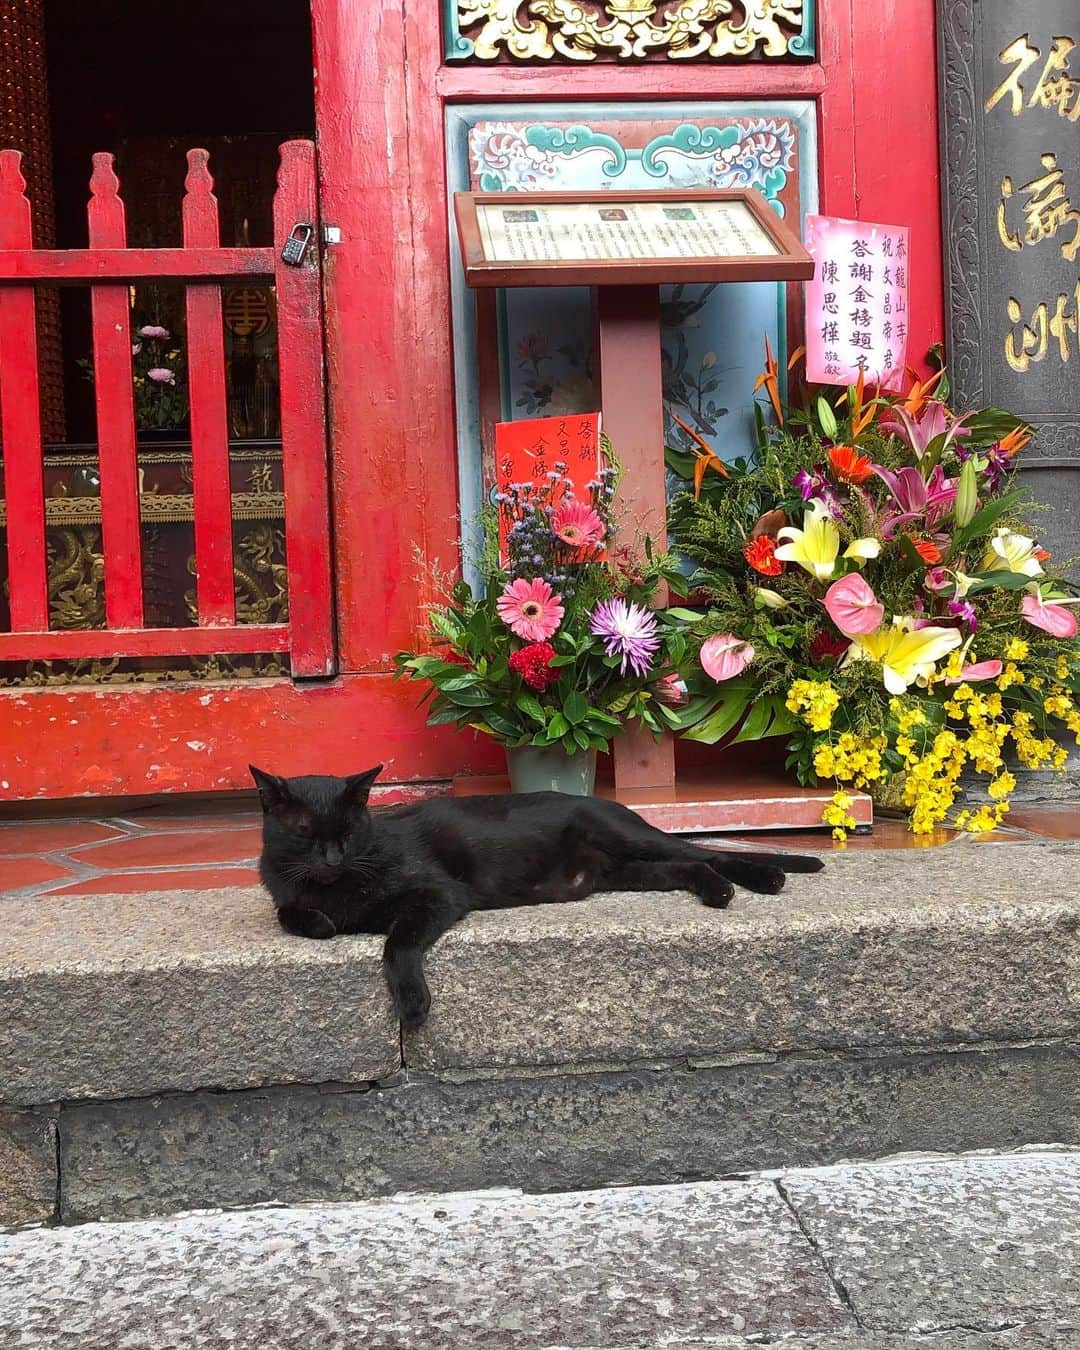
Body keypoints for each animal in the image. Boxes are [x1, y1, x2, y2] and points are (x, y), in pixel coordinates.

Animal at [251, 766, 826, 1026]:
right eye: (303, 832)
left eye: (349, 831)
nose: (331, 859)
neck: (338, 888)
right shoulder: (286, 891)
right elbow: (288, 912)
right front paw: (319, 921)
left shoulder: (439, 894)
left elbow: (398, 943)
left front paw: (412, 1004)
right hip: (629, 872)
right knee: (690, 864)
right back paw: (718, 890)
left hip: (632, 840)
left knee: (708, 852)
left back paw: (762, 879)